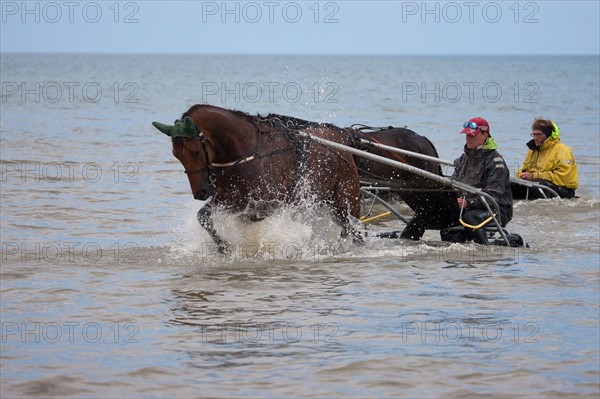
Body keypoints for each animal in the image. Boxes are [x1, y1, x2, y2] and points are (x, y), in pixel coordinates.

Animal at [152, 104, 364, 253]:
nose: (200, 192)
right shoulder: (227, 197)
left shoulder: (264, 204)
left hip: (346, 199)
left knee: (353, 230)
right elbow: (203, 216)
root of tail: (342, 136)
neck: (247, 151)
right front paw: (223, 246)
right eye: (176, 155)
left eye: (196, 151)